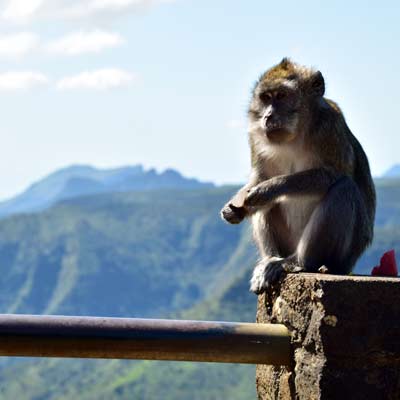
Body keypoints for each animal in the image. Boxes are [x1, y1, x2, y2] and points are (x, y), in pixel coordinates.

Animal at [222, 57, 376, 294]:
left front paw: (270, 188)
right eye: (265, 98)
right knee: (265, 207)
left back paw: (298, 262)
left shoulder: (329, 127)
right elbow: (259, 177)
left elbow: (333, 174)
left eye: (281, 96)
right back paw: (271, 259)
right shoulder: (255, 137)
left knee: (343, 188)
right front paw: (233, 208)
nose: (268, 116)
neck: (294, 135)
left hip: (345, 255)